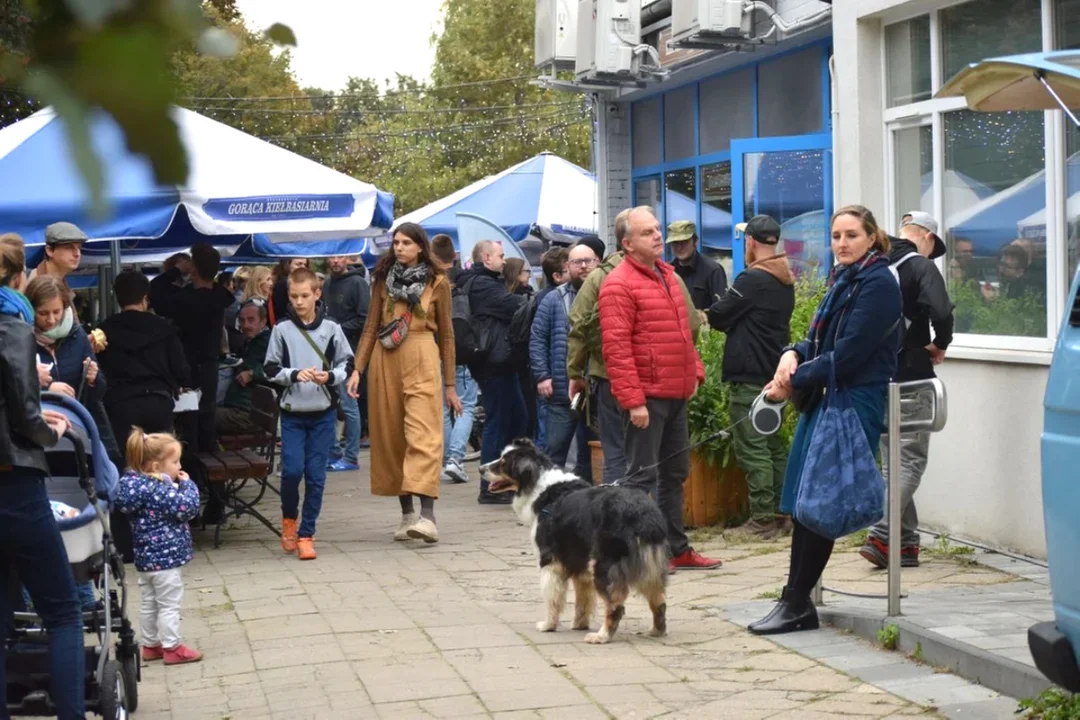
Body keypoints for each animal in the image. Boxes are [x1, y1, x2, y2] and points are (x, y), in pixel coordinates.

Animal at [481, 440, 665, 647]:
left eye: (503, 463)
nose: (480, 469)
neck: (539, 486)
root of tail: (643, 515)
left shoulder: (550, 561)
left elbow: (553, 599)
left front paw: (548, 626)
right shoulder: (579, 562)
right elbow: (582, 600)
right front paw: (579, 624)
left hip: (604, 565)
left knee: (615, 606)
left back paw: (601, 636)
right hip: (649, 566)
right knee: (659, 601)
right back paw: (656, 631)